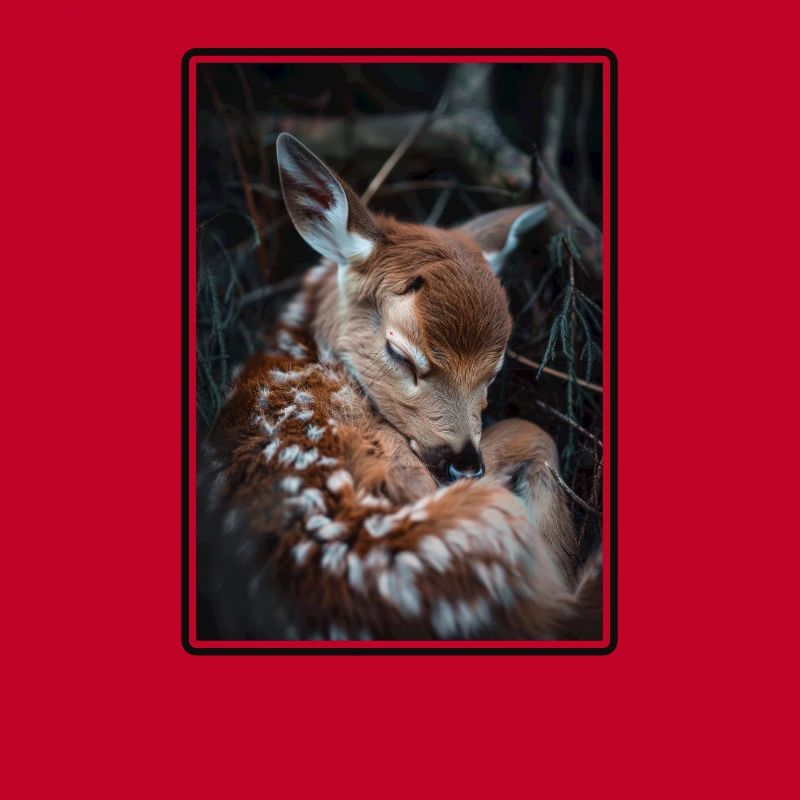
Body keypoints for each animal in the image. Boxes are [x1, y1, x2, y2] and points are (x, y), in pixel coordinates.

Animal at [198, 133, 602, 641]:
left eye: (494, 370)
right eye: (400, 354)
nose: (464, 463)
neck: (300, 348)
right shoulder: (407, 464)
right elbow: (532, 431)